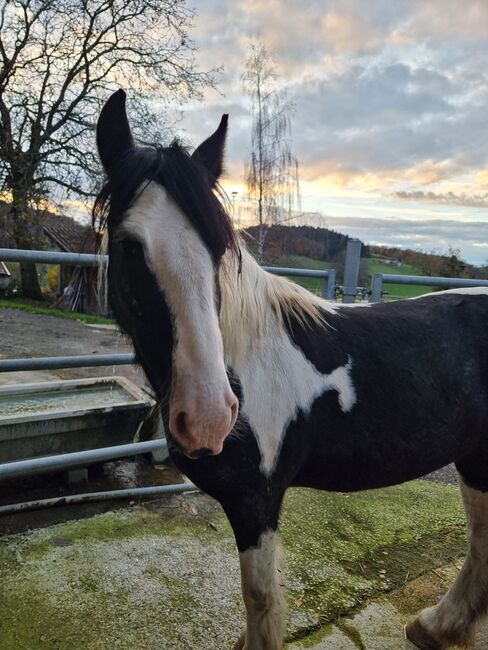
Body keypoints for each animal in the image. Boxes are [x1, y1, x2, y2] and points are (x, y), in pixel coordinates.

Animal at [94, 90, 488, 648]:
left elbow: (261, 601)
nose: (209, 417)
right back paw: (439, 626)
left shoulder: (256, 502)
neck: (242, 360)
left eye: (219, 248)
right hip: (476, 459)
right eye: (129, 245)